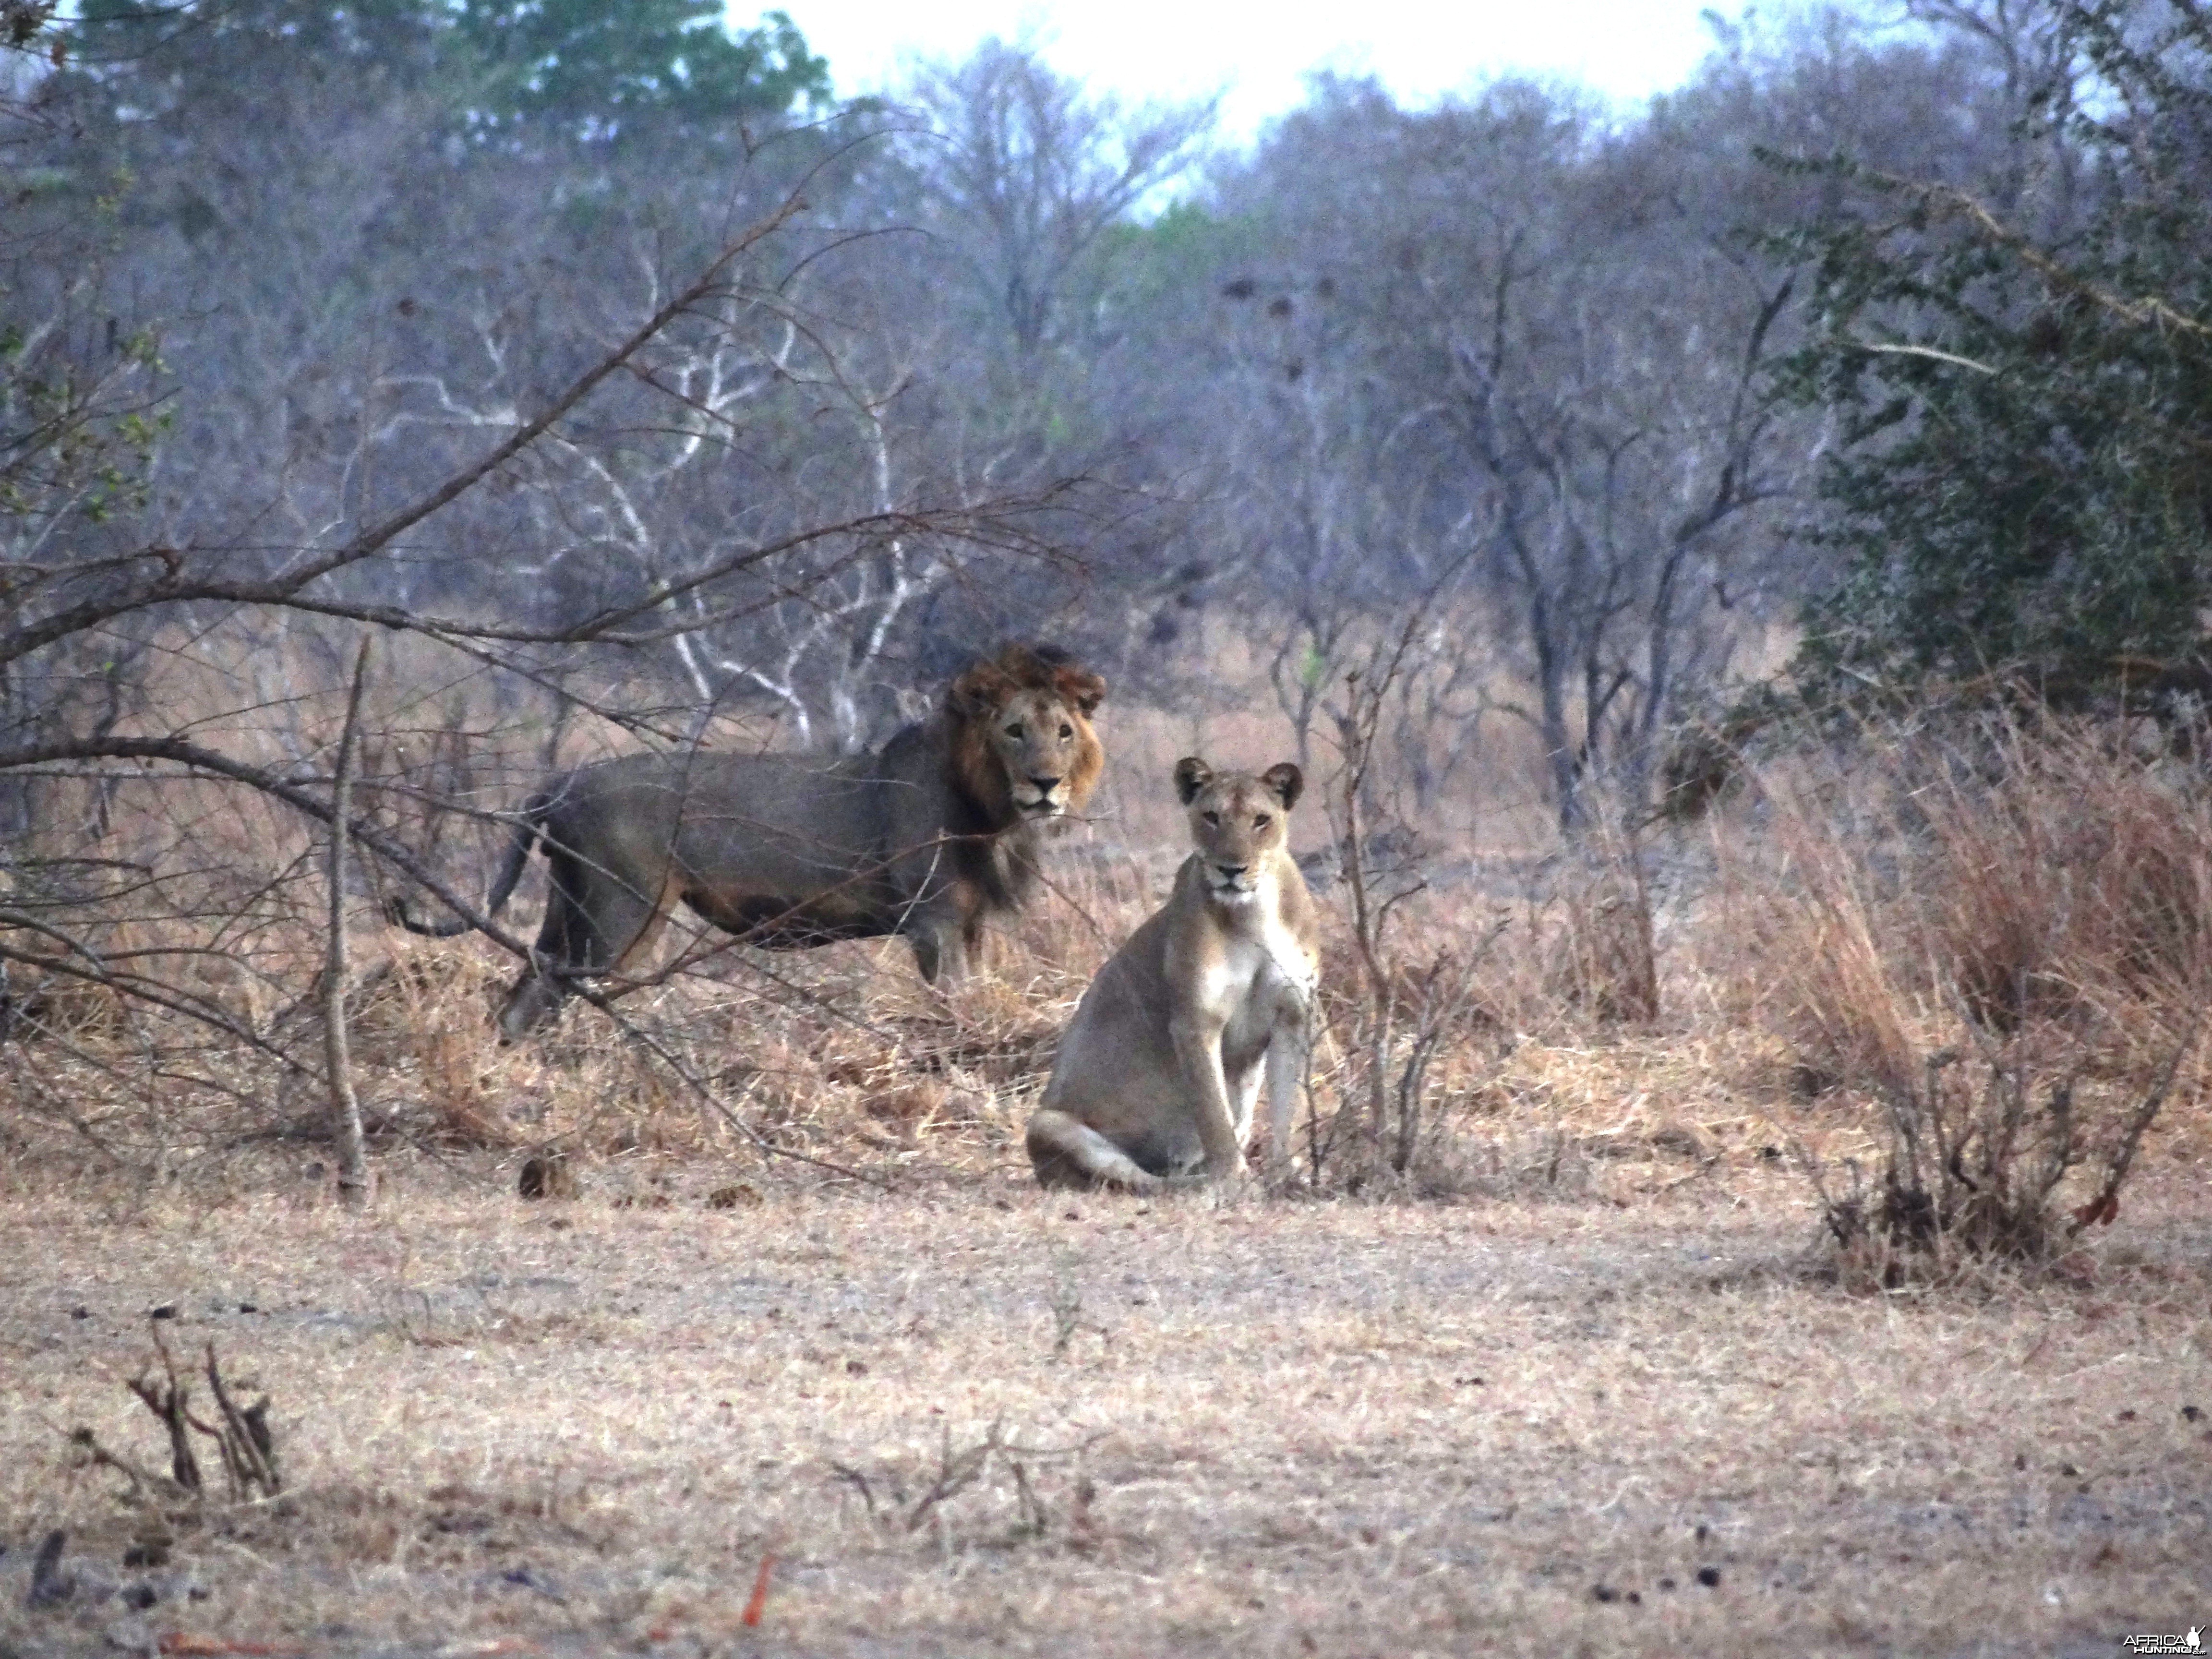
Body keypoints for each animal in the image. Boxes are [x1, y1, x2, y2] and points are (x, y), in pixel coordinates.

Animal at [387, 646, 1106, 1039]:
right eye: (1014, 731)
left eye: (1063, 732)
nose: (1047, 784)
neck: (994, 810)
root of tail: (562, 781)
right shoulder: (932, 923)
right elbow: (952, 1004)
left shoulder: (969, 924)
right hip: (620, 913)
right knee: (540, 999)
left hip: (570, 909)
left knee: (523, 996)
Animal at [1031, 752, 1318, 1194]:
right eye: (1212, 817)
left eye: (1261, 820)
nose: (1231, 869)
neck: (1252, 915)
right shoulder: (1195, 1021)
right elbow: (1214, 1115)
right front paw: (1235, 1179)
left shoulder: (1293, 1015)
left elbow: (1290, 1106)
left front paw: (1288, 1174)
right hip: (1046, 1122)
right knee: (1138, 1178)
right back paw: (1197, 1183)